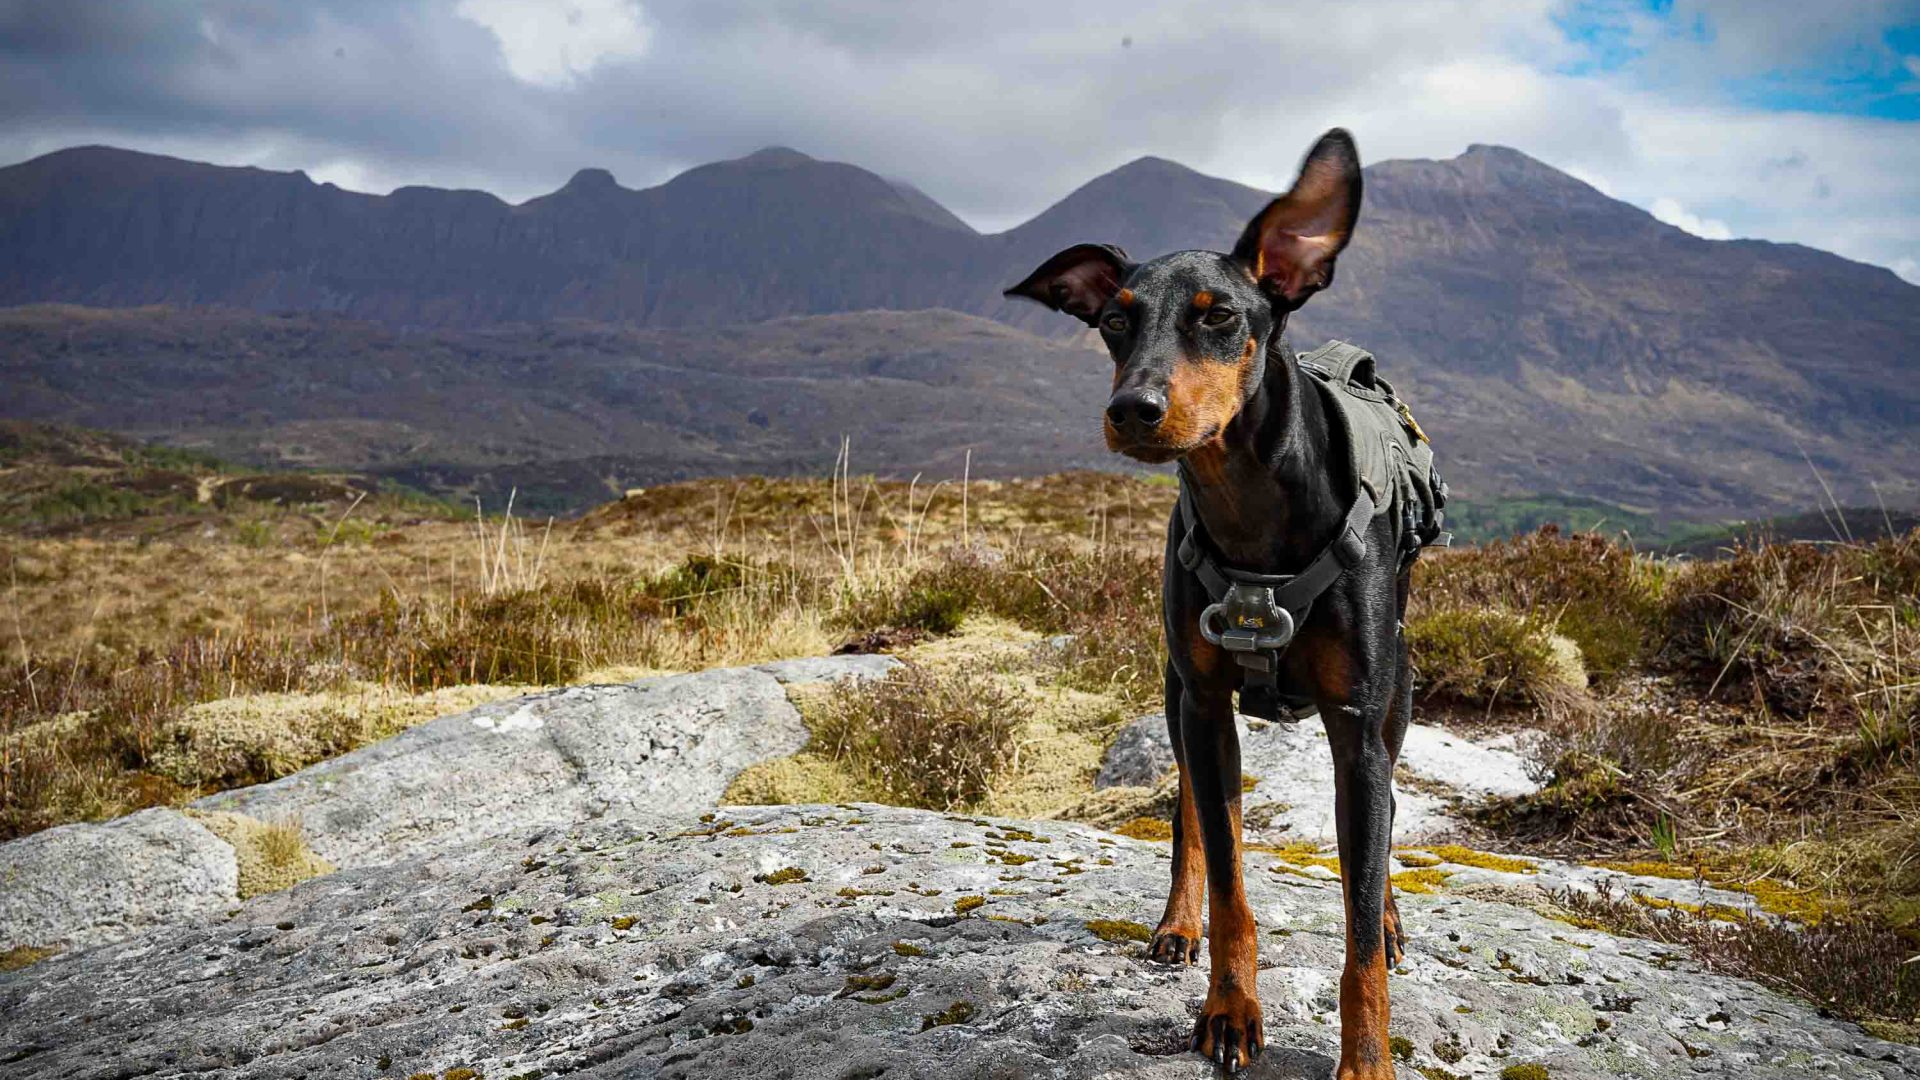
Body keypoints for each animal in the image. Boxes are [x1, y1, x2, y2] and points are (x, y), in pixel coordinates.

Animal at [1006, 130, 1413, 1068]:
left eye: (1218, 315)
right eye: (1114, 320)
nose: (1133, 408)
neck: (1251, 503)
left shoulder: (1356, 722)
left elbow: (1359, 920)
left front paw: (1366, 1059)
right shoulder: (1205, 700)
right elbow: (1227, 873)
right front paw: (1228, 1010)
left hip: (1397, 696)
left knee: (1379, 825)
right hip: (1179, 695)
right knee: (1192, 814)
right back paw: (1176, 923)